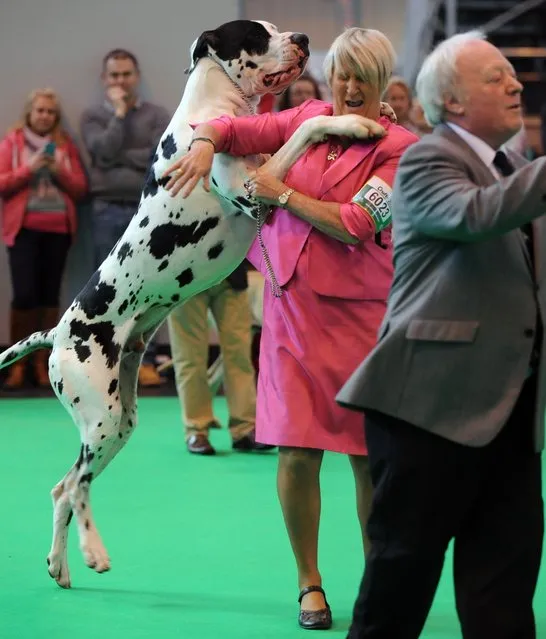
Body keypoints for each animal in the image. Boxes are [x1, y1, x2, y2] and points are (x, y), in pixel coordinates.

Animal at [0, 18, 382, 592]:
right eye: (256, 35)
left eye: (276, 28)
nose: (301, 40)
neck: (212, 108)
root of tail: (58, 333)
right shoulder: (256, 187)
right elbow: (305, 128)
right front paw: (354, 124)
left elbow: (298, 128)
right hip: (101, 418)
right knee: (74, 488)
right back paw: (93, 552)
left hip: (118, 423)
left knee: (61, 488)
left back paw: (60, 565)